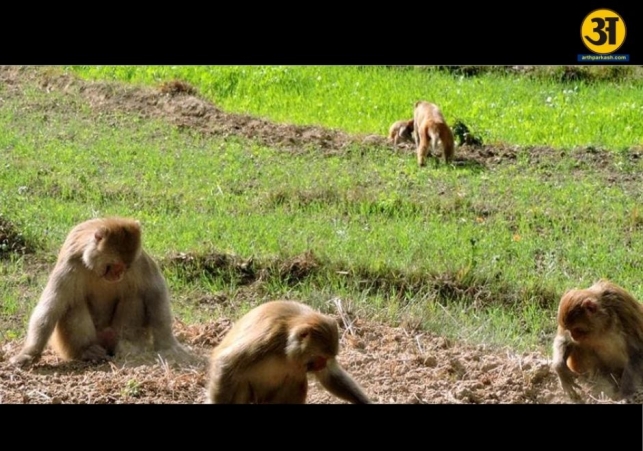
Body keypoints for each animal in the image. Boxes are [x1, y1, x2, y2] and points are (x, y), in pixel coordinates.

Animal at [10, 217, 190, 368]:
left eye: (126, 266)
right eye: (115, 265)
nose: (119, 275)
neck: (95, 268)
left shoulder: (139, 261)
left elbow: (155, 292)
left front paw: (168, 344)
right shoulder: (71, 263)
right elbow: (51, 307)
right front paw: (28, 354)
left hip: (118, 333)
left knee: (134, 296)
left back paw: (128, 345)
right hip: (70, 345)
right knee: (73, 303)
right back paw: (87, 350)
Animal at [206, 300, 372, 404]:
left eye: (327, 359)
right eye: (320, 357)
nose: (321, 365)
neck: (286, 351)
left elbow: (329, 376)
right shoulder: (267, 338)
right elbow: (226, 363)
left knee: (296, 380)